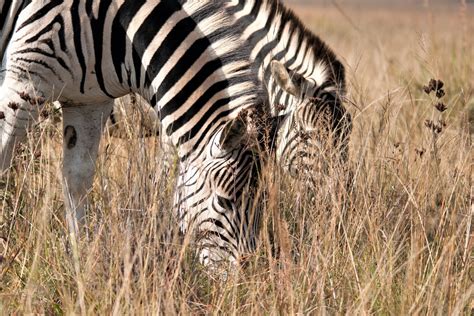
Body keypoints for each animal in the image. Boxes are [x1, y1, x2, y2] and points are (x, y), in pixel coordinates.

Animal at [0, 0, 266, 266]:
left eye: (260, 199)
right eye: (223, 201)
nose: (247, 268)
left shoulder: (89, 102)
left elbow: (77, 181)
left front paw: (81, 259)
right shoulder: (24, 82)